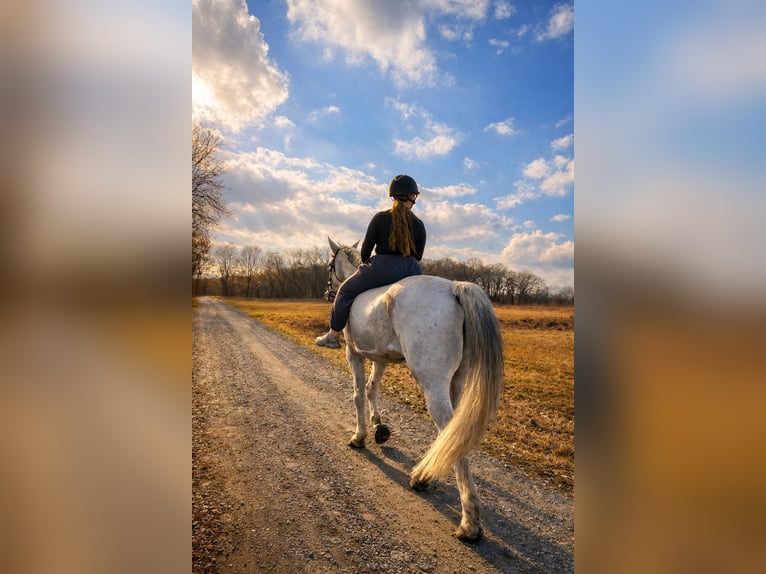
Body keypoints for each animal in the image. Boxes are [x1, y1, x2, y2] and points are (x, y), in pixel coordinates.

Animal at [323, 237, 505, 541]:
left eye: (330, 265)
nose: (328, 292)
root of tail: (454, 288)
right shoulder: (380, 358)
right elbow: (372, 389)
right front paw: (379, 426)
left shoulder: (354, 354)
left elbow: (358, 394)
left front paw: (360, 436)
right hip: (455, 382)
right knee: (452, 433)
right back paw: (424, 475)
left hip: (432, 383)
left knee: (449, 430)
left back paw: (468, 520)